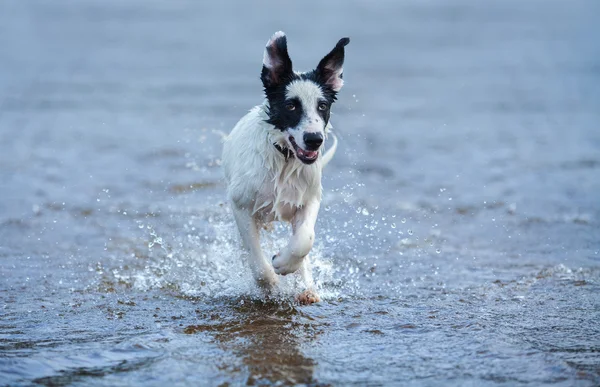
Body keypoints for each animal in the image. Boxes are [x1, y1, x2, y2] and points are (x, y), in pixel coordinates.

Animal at [223, 31, 350, 304]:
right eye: (291, 106)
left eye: (322, 106)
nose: (314, 139)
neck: (284, 159)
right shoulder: (241, 205)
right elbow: (257, 262)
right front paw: (271, 283)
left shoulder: (309, 199)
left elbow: (305, 239)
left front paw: (284, 263)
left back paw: (307, 288)